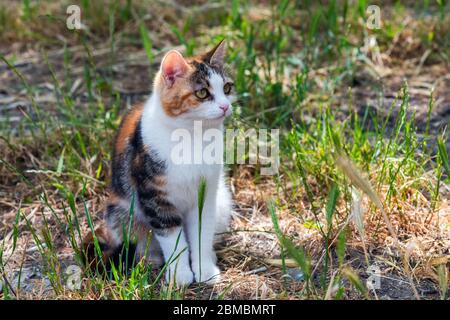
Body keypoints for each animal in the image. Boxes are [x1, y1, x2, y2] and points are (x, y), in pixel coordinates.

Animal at [82, 41, 234, 286]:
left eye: (227, 88)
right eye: (202, 93)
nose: (225, 106)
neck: (192, 137)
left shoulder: (206, 194)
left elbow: (201, 232)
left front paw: (204, 270)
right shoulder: (154, 196)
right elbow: (172, 238)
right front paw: (180, 275)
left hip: (222, 201)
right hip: (120, 211)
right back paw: (151, 260)